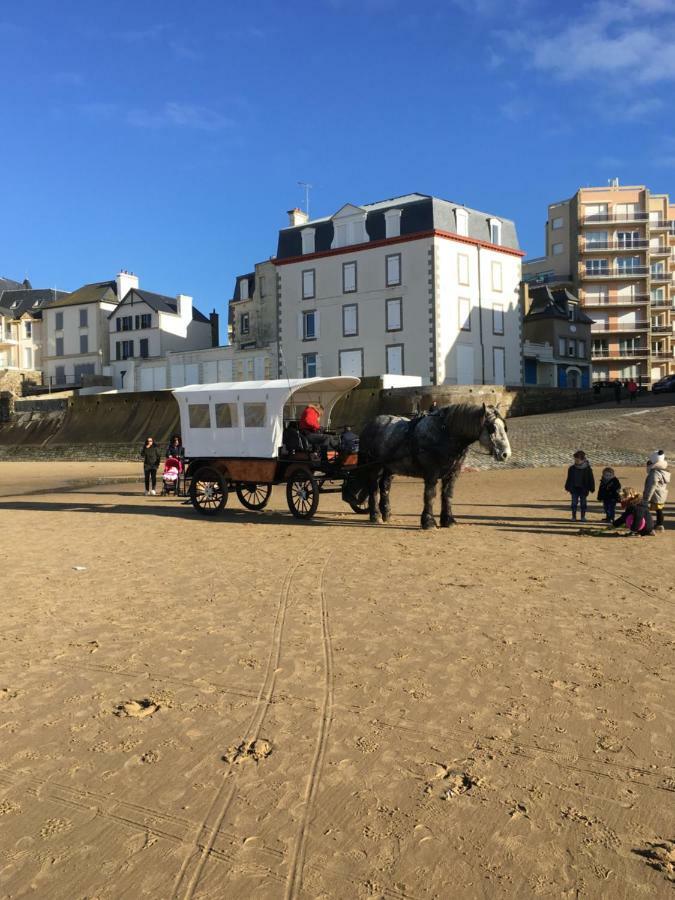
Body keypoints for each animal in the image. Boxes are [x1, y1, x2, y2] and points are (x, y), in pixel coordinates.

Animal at [360, 404, 512, 532]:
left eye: (505, 428)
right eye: (492, 428)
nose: (505, 454)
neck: (444, 434)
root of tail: (371, 423)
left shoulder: (452, 474)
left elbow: (447, 495)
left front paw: (448, 520)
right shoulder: (431, 473)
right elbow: (430, 495)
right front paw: (428, 522)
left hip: (389, 467)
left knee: (384, 486)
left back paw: (386, 513)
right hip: (374, 465)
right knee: (373, 488)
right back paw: (375, 515)